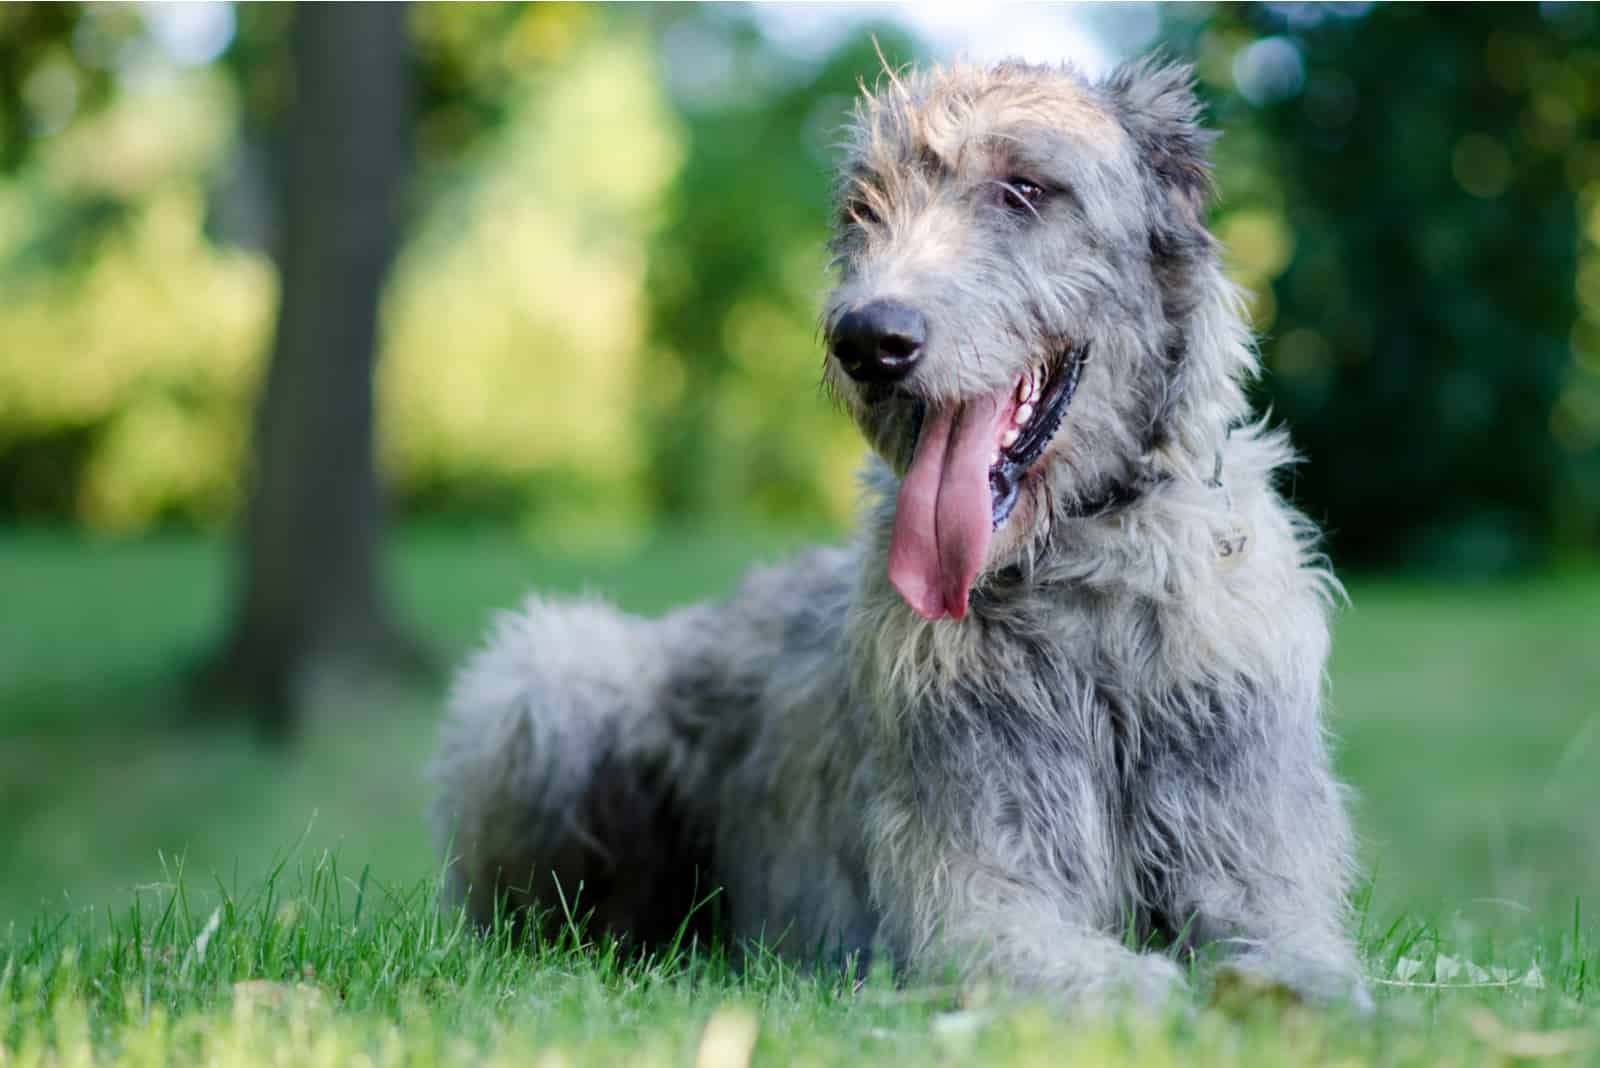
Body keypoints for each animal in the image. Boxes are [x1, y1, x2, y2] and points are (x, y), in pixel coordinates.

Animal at [435, 58, 1376, 1010]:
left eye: (1025, 189)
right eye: (863, 208)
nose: (868, 340)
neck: (1083, 575)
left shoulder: (1248, 838)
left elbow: (1306, 953)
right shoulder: (973, 889)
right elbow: (1078, 967)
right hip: (553, 674)